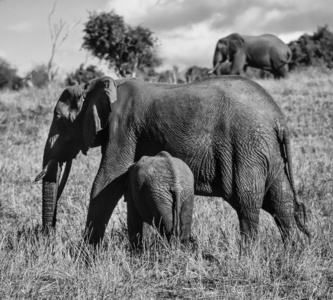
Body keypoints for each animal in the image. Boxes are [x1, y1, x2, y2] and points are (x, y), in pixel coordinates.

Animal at [35, 74, 308, 246]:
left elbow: (106, 181)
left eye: (58, 117)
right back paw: (293, 251)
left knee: (247, 199)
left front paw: (85, 255)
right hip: (265, 148)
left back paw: (248, 255)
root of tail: (278, 117)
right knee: (280, 198)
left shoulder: (123, 126)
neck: (102, 83)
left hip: (248, 145)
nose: (48, 238)